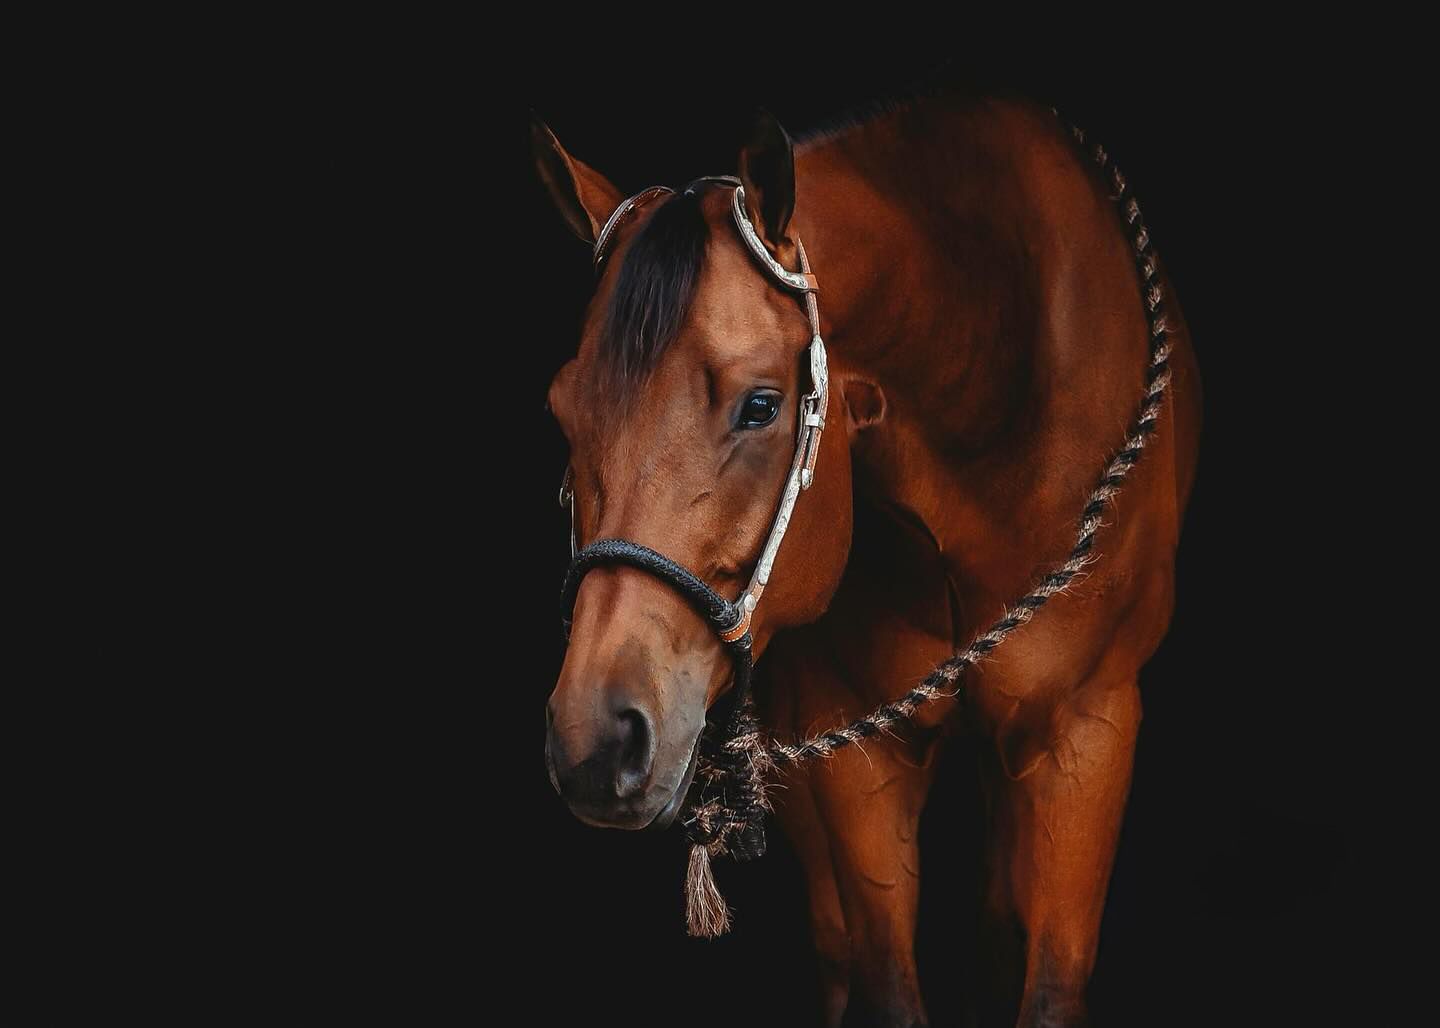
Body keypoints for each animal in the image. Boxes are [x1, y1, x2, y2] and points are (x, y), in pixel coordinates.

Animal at [534, 89, 1202, 1027]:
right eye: (562, 412)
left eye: (762, 406)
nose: (595, 741)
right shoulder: (851, 752)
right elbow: (880, 977)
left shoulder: (1088, 728)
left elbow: (1050, 981)